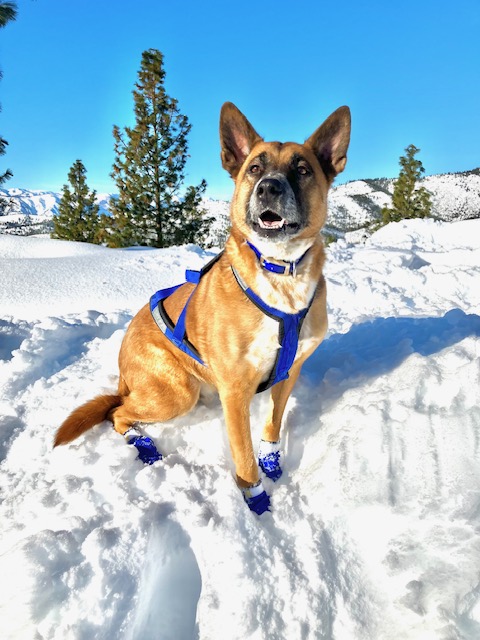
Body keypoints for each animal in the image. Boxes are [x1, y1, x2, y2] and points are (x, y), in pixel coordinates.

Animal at [54, 102, 350, 516]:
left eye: (302, 169)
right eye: (255, 168)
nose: (269, 187)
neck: (280, 273)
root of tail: (122, 365)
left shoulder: (289, 371)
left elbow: (272, 425)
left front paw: (272, 463)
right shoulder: (236, 390)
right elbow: (243, 457)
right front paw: (257, 502)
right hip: (176, 392)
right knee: (118, 412)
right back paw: (143, 446)